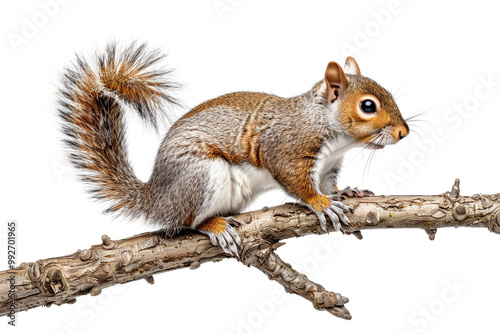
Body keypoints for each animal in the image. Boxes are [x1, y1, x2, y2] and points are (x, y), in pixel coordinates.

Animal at [58, 41, 410, 256]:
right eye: (368, 106)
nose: (404, 132)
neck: (332, 134)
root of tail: (155, 197)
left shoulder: (327, 166)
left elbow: (327, 183)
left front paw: (347, 192)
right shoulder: (287, 149)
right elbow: (299, 184)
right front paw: (321, 204)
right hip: (201, 177)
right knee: (186, 222)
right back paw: (213, 226)